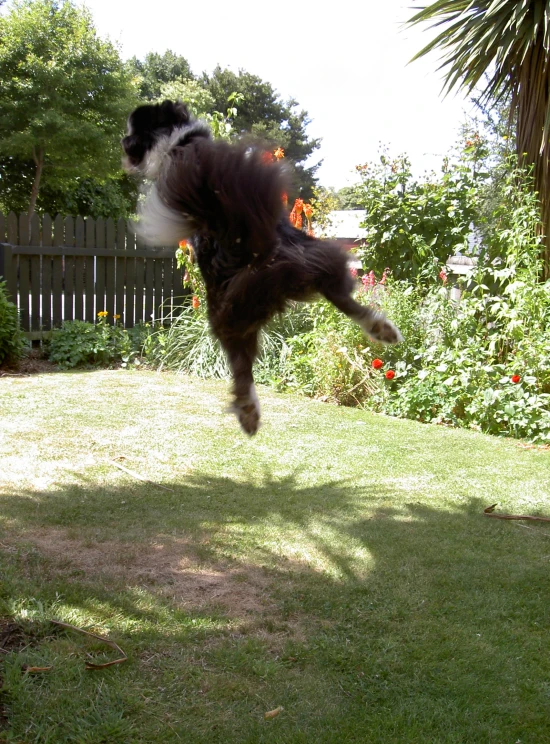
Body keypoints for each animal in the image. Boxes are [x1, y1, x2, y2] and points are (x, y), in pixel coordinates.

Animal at [123, 100, 404, 436]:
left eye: (133, 130)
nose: (122, 142)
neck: (181, 141)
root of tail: (265, 252)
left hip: (226, 310)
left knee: (240, 366)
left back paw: (248, 411)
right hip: (316, 261)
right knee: (341, 297)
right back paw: (381, 328)